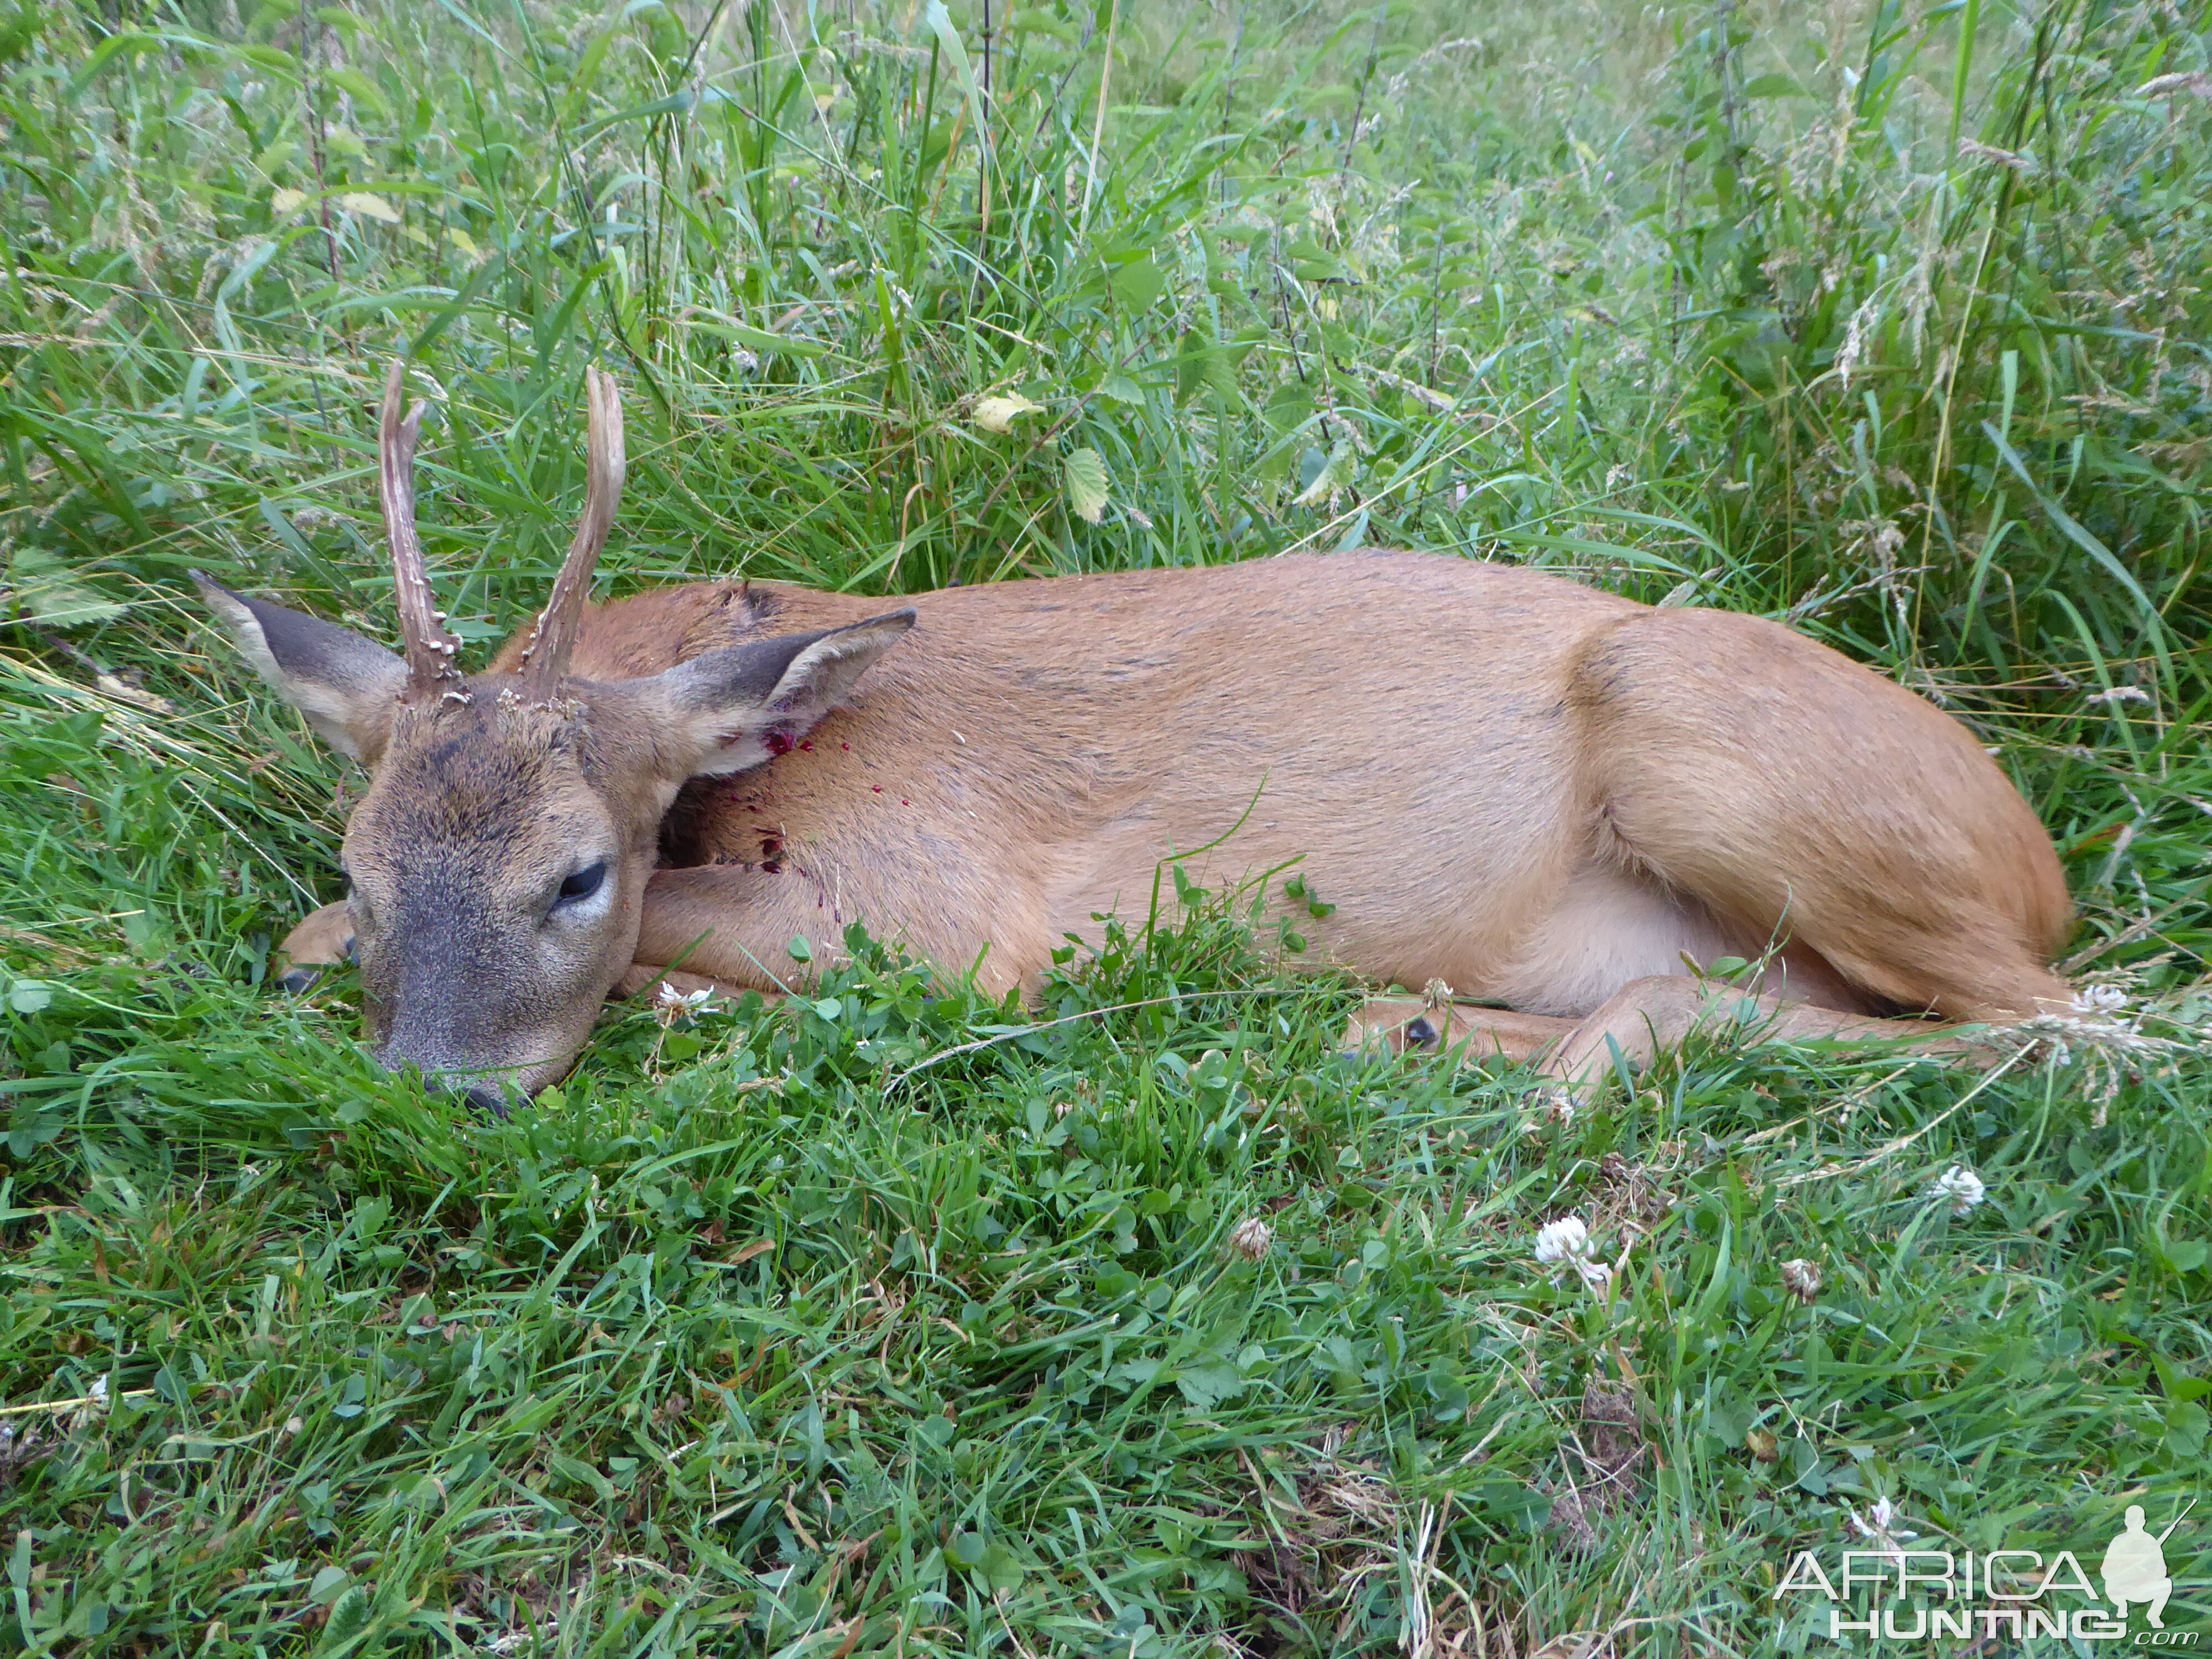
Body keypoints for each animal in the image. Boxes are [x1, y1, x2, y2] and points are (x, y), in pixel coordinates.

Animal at [199, 365, 2079, 1119]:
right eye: (368, 860)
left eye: (580, 871)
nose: (437, 1094)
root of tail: (2044, 861)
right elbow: (292, 939)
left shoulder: (940, 910)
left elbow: (710, 949)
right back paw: (1413, 1028)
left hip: (1698, 736)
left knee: (2073, 1026)